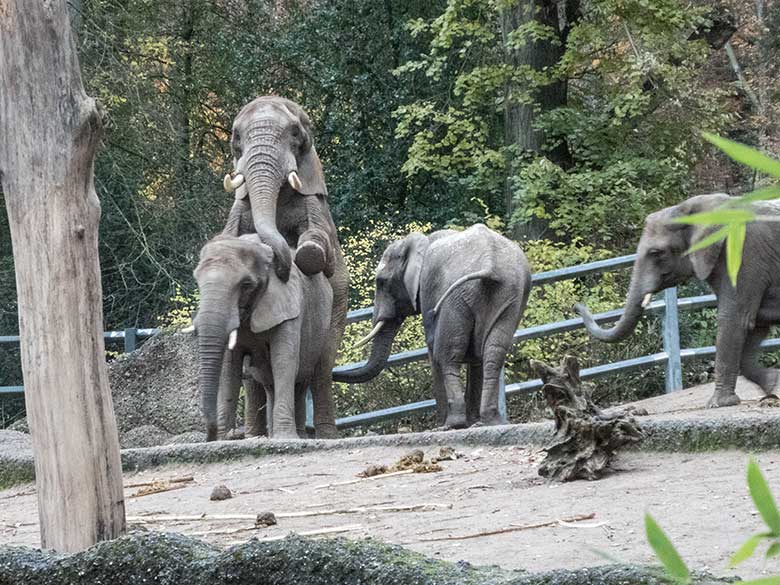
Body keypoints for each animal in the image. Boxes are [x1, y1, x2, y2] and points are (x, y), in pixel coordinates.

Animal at [194, 233, 332, 438]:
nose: (210, 436)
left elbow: (283, 360)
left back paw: (296, 436)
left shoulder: (289, 305)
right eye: (197, 281)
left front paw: (285, 439)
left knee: (302, 380)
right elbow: (229, 370)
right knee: (270, 383)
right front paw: (223, 440)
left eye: (246, 285)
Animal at [332, 224, 532, 428]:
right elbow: (476, 357)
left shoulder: (428, 287)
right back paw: (492, 422)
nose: (332, 372)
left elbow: (433, 346)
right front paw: (474, 422)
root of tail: (489, 262)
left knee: (447, 354)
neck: (421, 240)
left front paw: (444, 424)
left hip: (456, 298)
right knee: (493, 352)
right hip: (510, 293)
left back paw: (452, 424)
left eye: (381, 282)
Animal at [572, 194, 780, 408]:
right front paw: (772, 385)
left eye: (656, 253)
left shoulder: (744, 255)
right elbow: (756, 324)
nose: (576, 306)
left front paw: (718, 404)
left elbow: (734, 319)